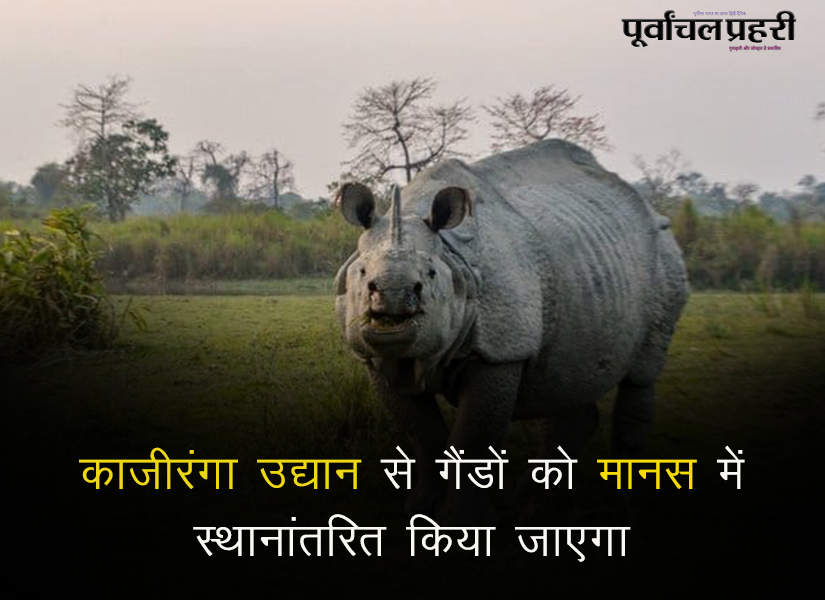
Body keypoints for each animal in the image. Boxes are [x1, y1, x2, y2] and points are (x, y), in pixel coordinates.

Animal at [334, 139, 688, 524]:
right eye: (362, 273)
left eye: (429, 275)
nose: (394, 296)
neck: (453, 256)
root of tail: (654, 211)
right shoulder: (377, 356)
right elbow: (423, 435)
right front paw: (420, 511)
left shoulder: (502, 350)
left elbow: (473, 439)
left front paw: (464, 522)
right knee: (563, 377)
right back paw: (538, 498)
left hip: (665, 261)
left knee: (641, 375)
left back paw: (625, 505)